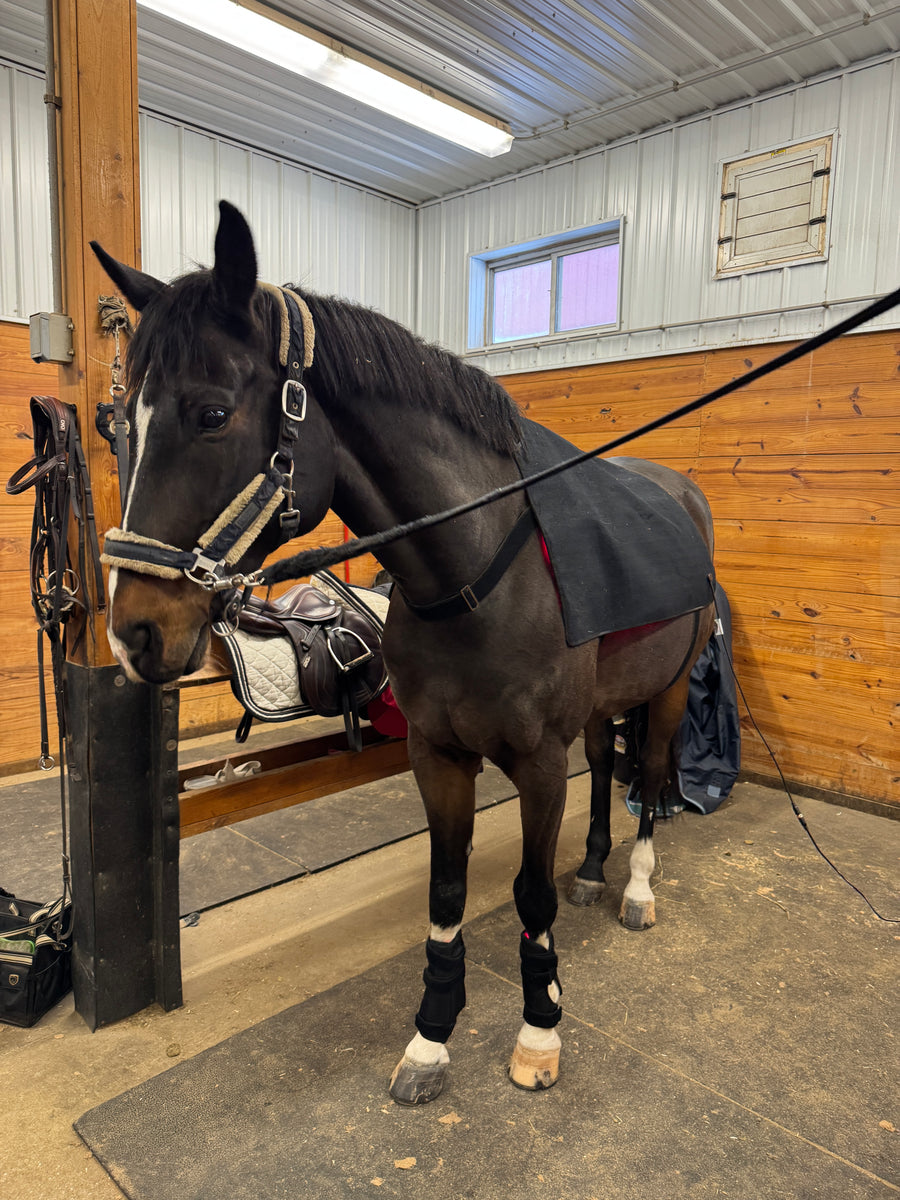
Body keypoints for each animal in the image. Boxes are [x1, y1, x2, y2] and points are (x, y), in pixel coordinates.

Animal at [92, 200, 716, 1105]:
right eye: (121, 425)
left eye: (211, 414)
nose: (135, 632)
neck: (475, 576)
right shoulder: (438, 755)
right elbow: (445, 889)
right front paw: (431, 1038)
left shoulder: (536, 763)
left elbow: (530, 895)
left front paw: (539, 1029)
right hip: (601, 711)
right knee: (607, 766)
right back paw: (596, 870)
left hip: (665, 695)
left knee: (654, 778)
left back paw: (634, 886)